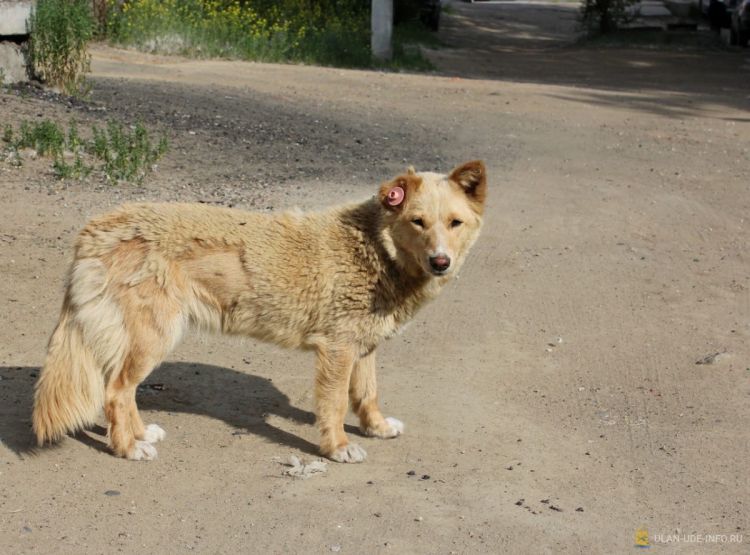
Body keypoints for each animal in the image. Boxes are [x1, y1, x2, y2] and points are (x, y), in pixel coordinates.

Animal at [30, 162, 488, 464]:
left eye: (455, 223)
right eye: (418, 222)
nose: (441, 262)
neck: (373, 247)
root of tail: (97, 227)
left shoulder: (363, 346)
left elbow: (367, 394)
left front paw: (376, 428)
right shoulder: (336, 350)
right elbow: (336, 405)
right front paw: (337, 447)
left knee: (123, 393)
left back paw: (142, 434)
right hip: (154, 337)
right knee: (116, 392)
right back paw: (128, 447)